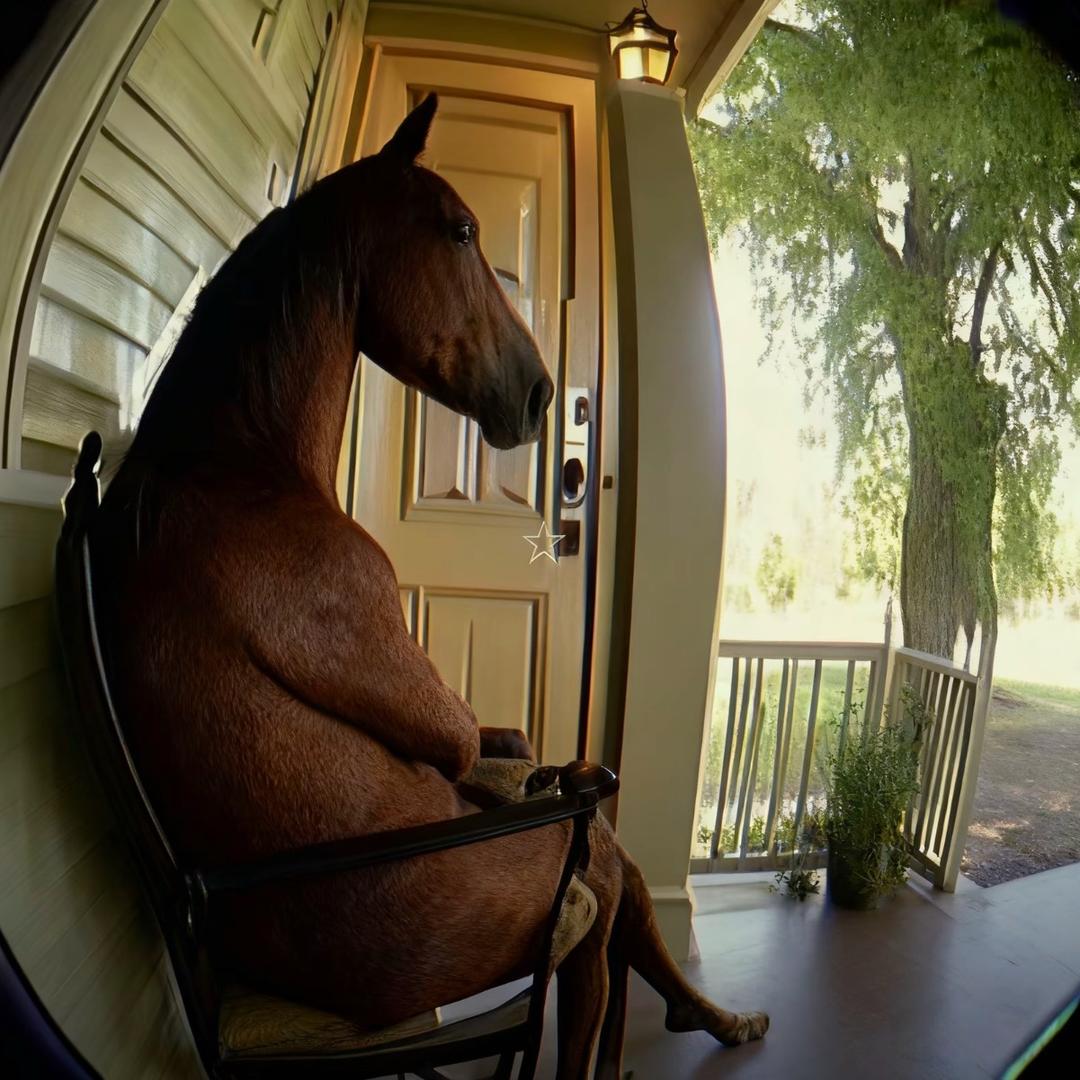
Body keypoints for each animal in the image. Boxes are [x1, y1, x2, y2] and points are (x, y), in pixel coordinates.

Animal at [90, 94, 768, 1079]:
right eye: (461, 229)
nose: (542, 393)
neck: (234, 461)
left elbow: (498, 739)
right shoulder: (413, 678)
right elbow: (461, 740)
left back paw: (716, 1016)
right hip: (569, 894)